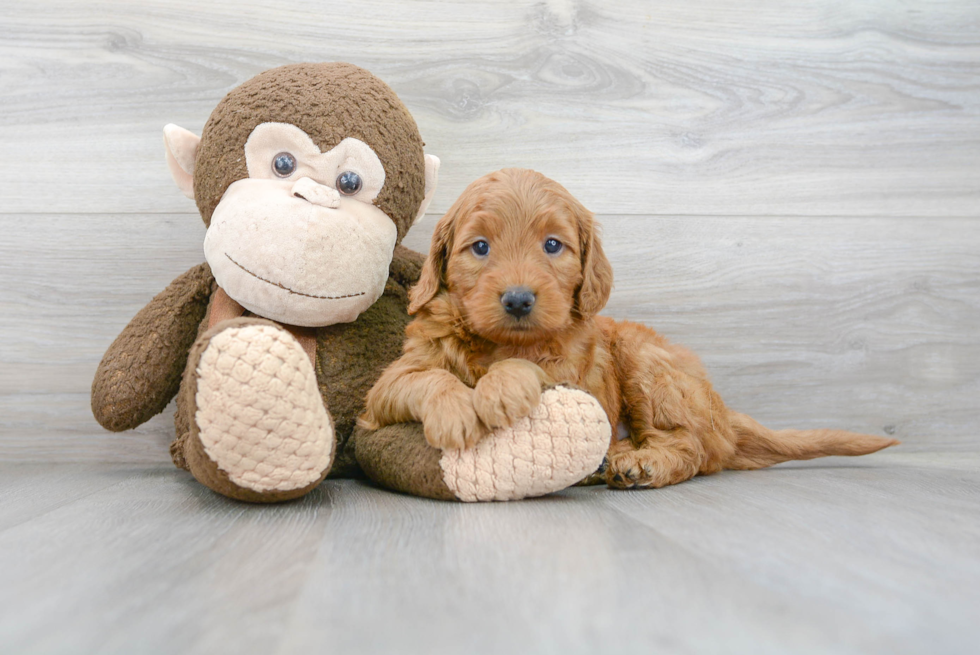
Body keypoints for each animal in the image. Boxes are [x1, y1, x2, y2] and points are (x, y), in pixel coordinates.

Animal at [358, 169, 896, 486]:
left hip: (647, 364)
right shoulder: (388, 387)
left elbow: (532, 369)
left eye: (552, 245)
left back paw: (635, 462)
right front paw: (456, 412)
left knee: (691, 448)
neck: (497, 343)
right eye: (480, 248)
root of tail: (723, 413)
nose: (518, 299)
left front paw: (501, 387)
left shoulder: (574, 374)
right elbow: (426, 377)